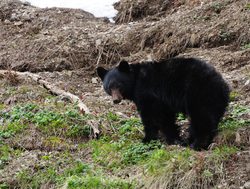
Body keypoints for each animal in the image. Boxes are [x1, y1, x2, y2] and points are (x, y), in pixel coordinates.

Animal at [96, 58, 229, 151]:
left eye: (119, 85)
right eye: (109, 87)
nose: (116, 100)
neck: (135, 82)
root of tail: (222, 85)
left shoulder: (148, 93)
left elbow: (151, 116)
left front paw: (148, 139)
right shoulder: (164, 101)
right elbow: (167, 117)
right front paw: (176, 139)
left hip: (198, 93)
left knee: (201, 117)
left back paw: (197, 144)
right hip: (215, 101)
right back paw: (192, 140)